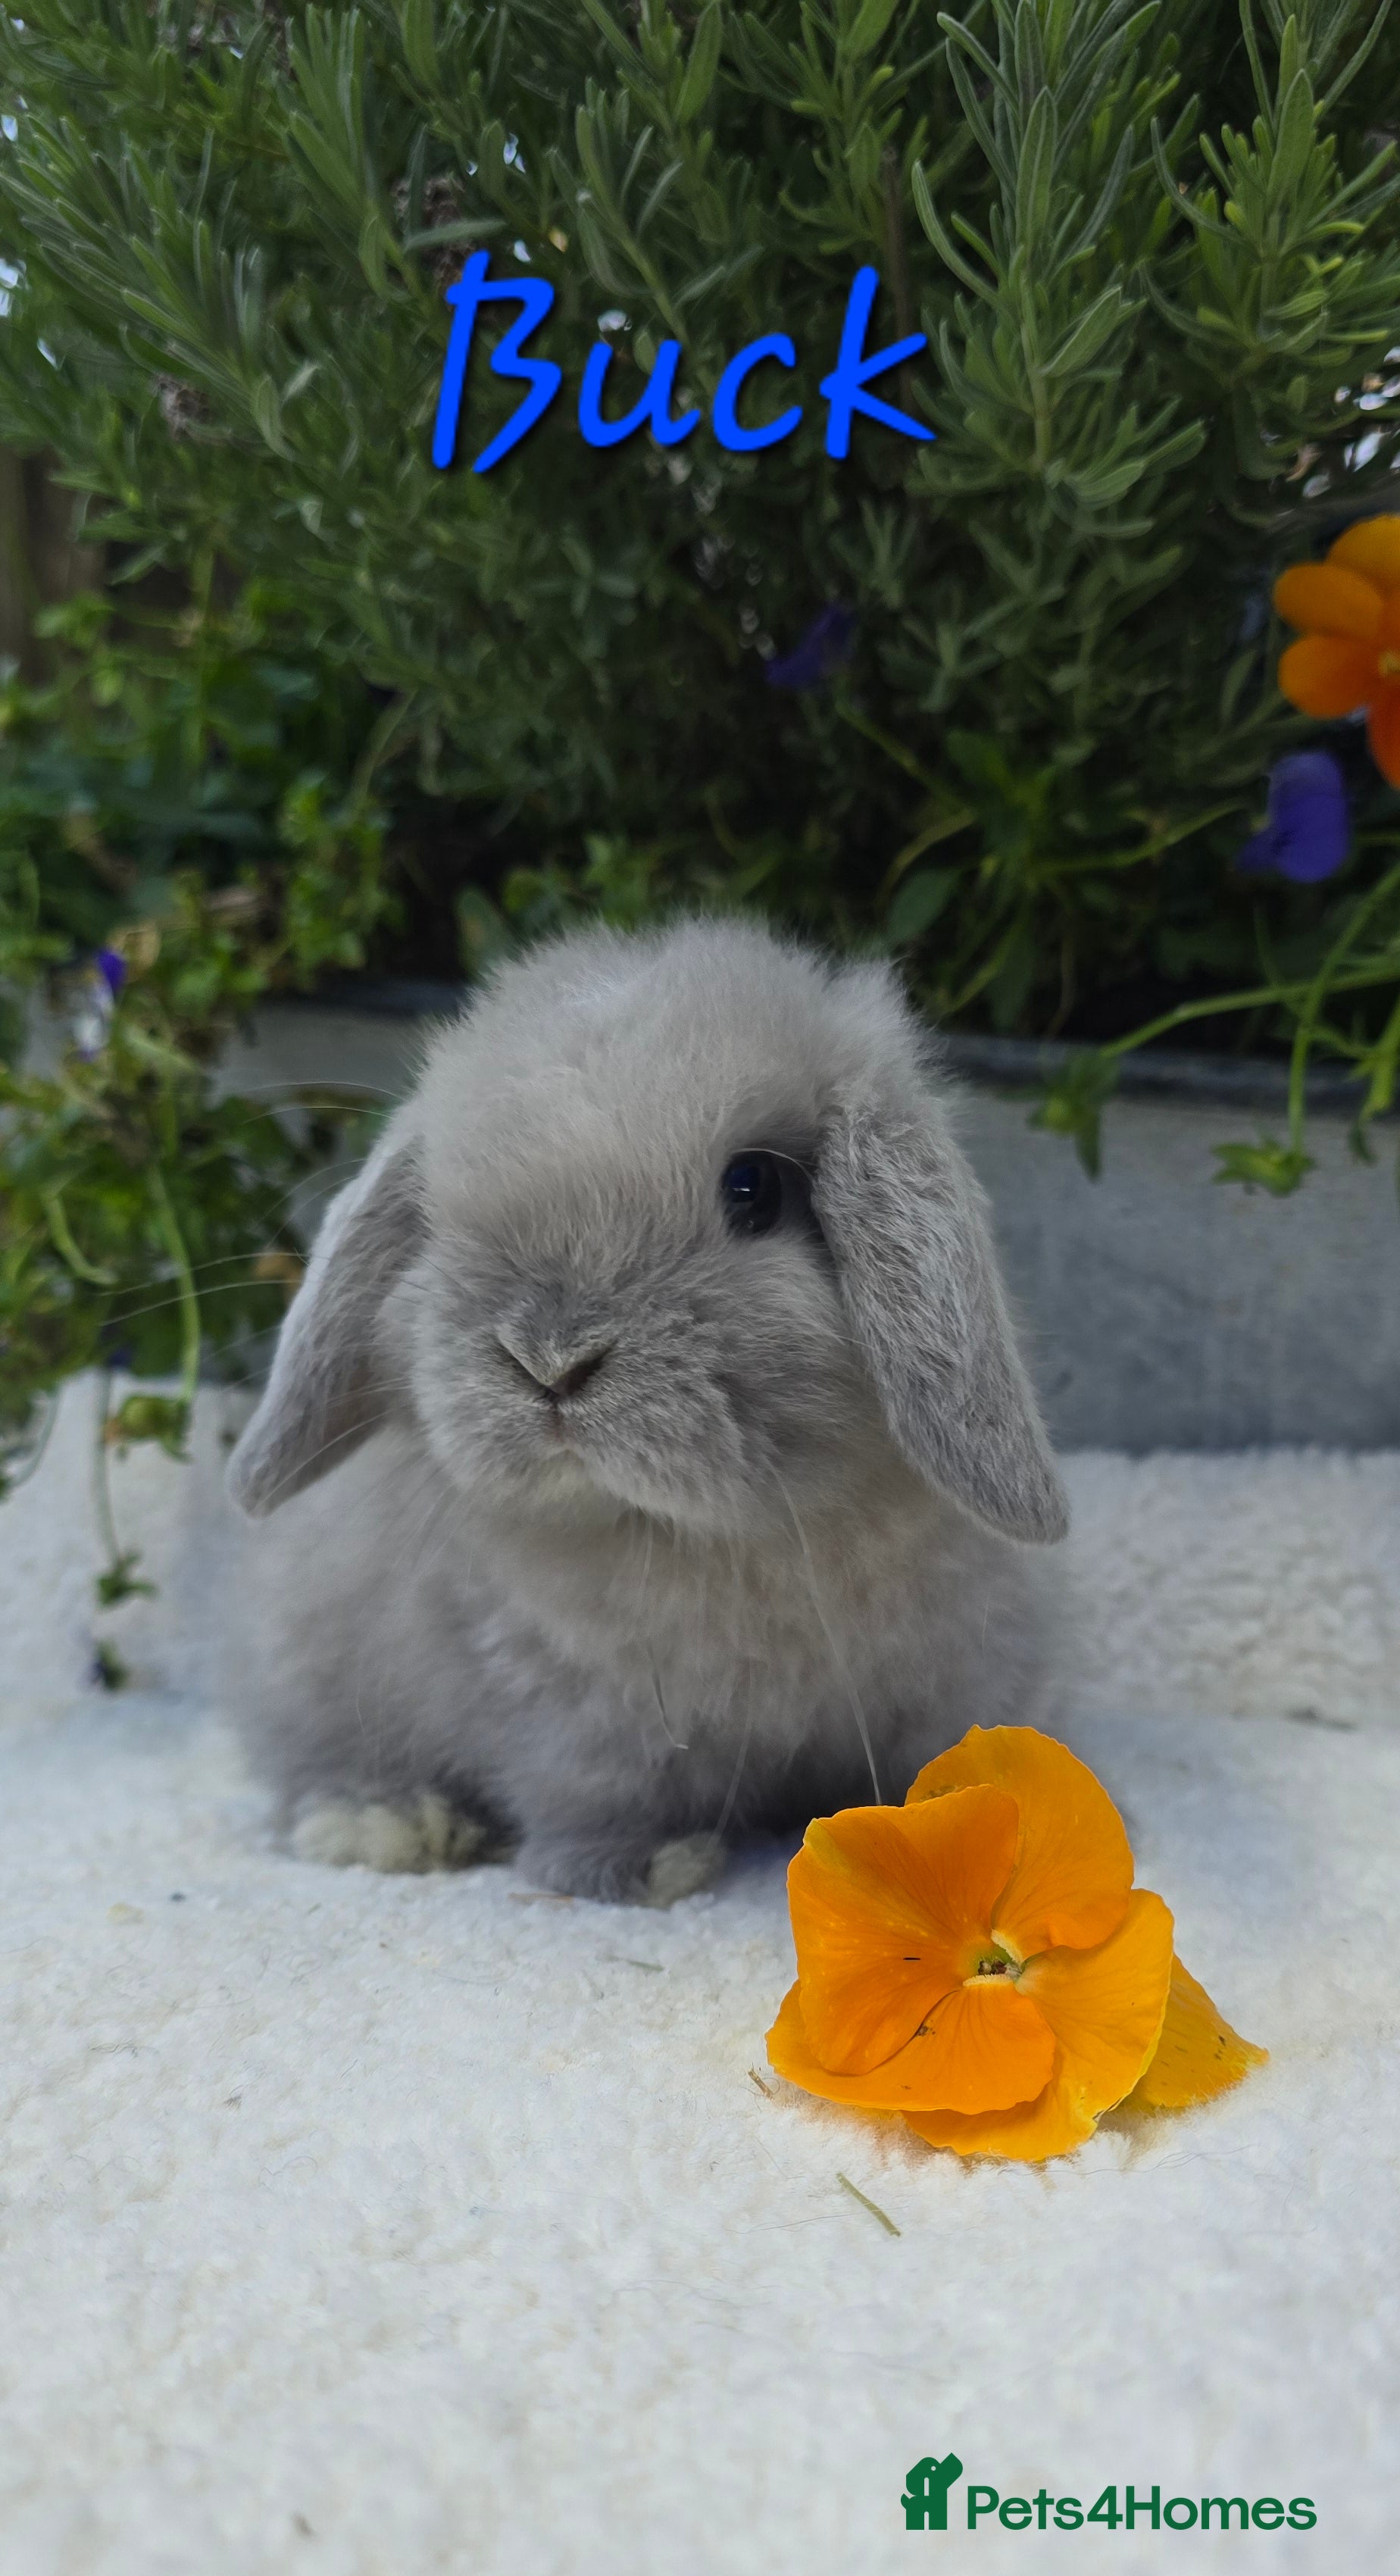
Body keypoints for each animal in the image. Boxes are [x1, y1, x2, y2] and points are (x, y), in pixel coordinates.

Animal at [226, 914, 1069, 1905]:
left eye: (754, 1187)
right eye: (434, 1215)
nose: (549, 1360)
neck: (740, 1539)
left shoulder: (967, 1675)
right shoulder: (576, 1719)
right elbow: (595, 1798)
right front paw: (649, 1872)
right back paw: (387, 1824)